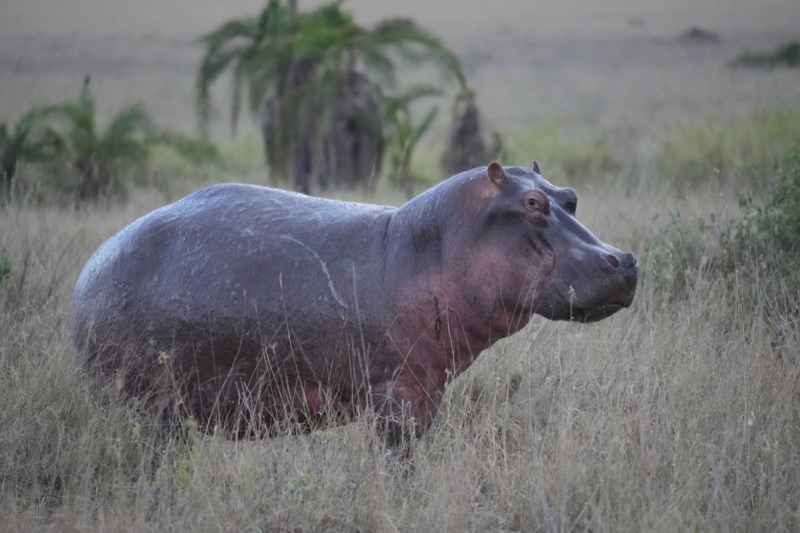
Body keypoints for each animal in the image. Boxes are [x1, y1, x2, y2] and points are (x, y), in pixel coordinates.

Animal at [71, 161, 637, 443]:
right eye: (532, 203)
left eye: (571, 196)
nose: (625, 259)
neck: (429, 246)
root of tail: (93, 264)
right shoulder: (397, 395)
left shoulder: (428, 391)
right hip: (146, 405)